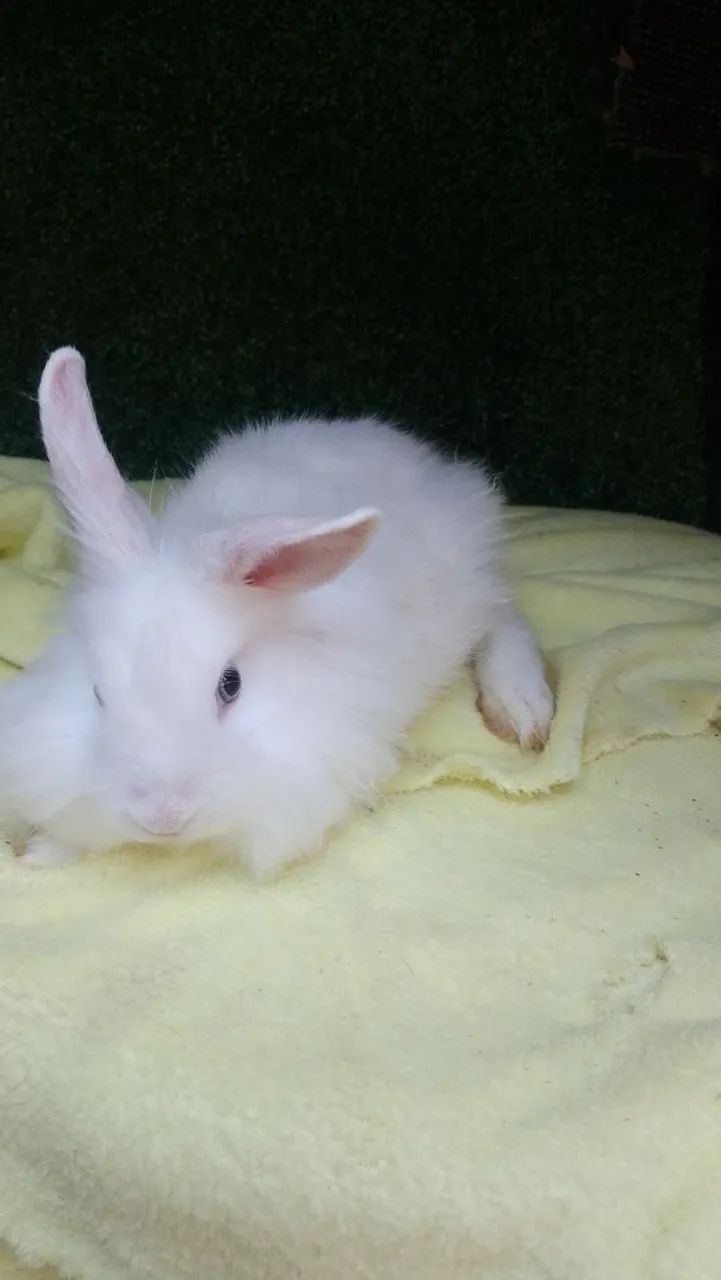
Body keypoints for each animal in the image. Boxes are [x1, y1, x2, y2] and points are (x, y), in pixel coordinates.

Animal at [0, 347, 554, 877]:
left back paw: (521, 708)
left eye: (231, 685)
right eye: (97, 693)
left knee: (503, 614)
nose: (164, 817)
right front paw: (41, 849)